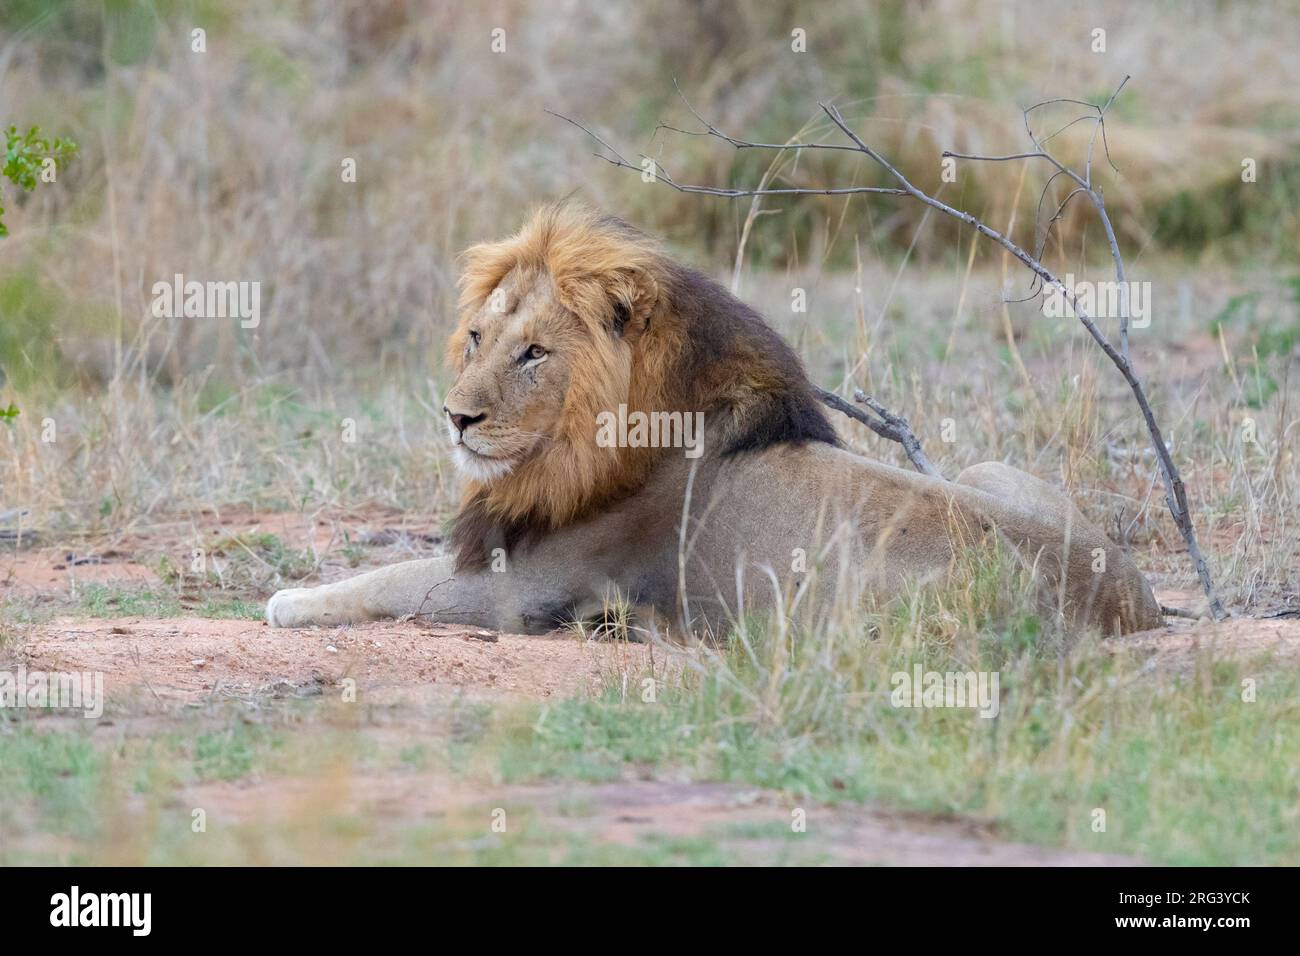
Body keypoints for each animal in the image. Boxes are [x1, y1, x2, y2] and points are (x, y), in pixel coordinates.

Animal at [269, 202, 1164, 634]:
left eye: (534, 354)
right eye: (479, 339)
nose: (456, 417)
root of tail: (1132, 608)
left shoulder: (526, 590)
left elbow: (390, 579)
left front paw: (288, 601)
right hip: (987, 472)